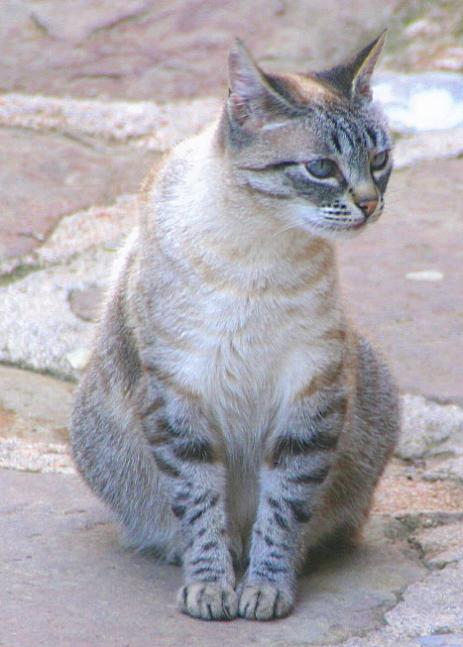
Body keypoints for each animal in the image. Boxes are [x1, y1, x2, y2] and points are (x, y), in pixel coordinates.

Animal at [70, 31, 400, 624]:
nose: (369, 204)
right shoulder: (179, 397)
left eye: (380, 159)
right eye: (321, 168)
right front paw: (210, 588)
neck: (262, 250)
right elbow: (202, 509)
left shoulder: (310, 393)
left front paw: (266, 590)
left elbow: (283, 511)